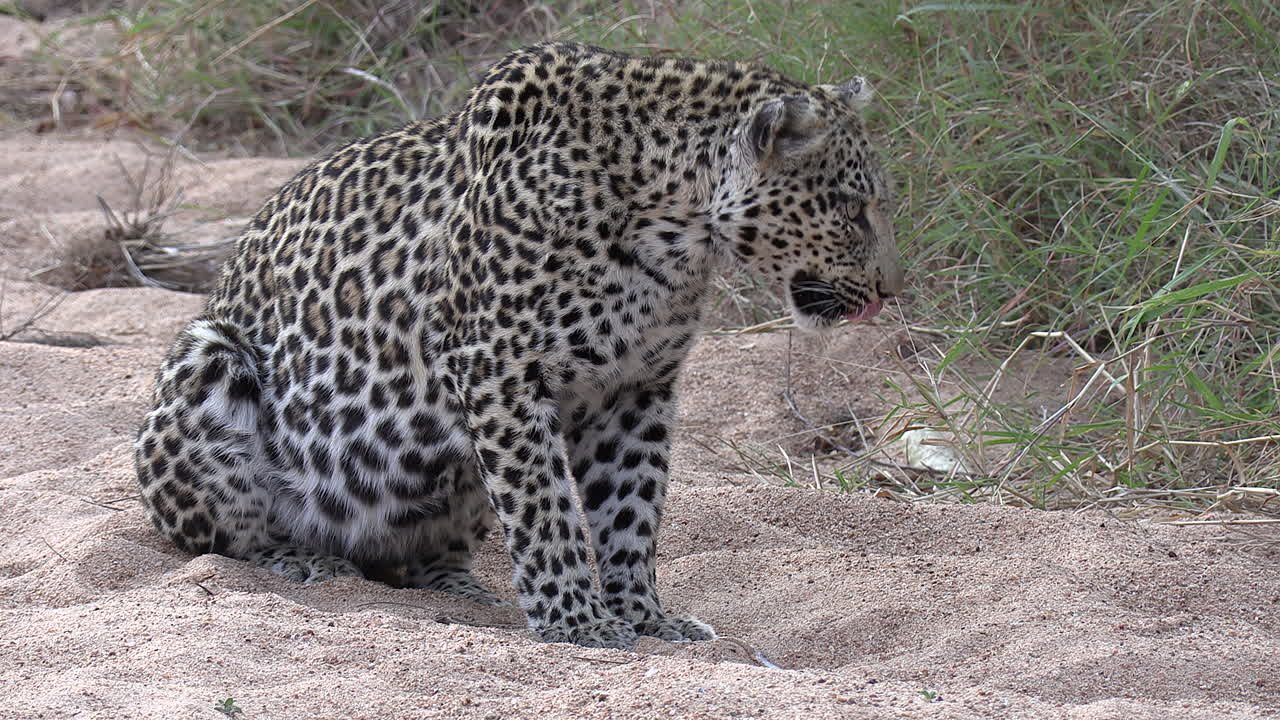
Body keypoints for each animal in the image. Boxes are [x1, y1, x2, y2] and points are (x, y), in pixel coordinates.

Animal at [133, 42, 905, 650]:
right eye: (851, 209)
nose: (889, 290)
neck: (672, 233)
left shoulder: (638, 386)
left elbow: (632, 510)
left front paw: (646, 618)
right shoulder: (496, 371)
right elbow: (546, 508)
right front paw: (579, 623)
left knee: (426, 559)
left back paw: (463, 595)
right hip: (209, 359)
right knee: (228, 540)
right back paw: (308, 562)